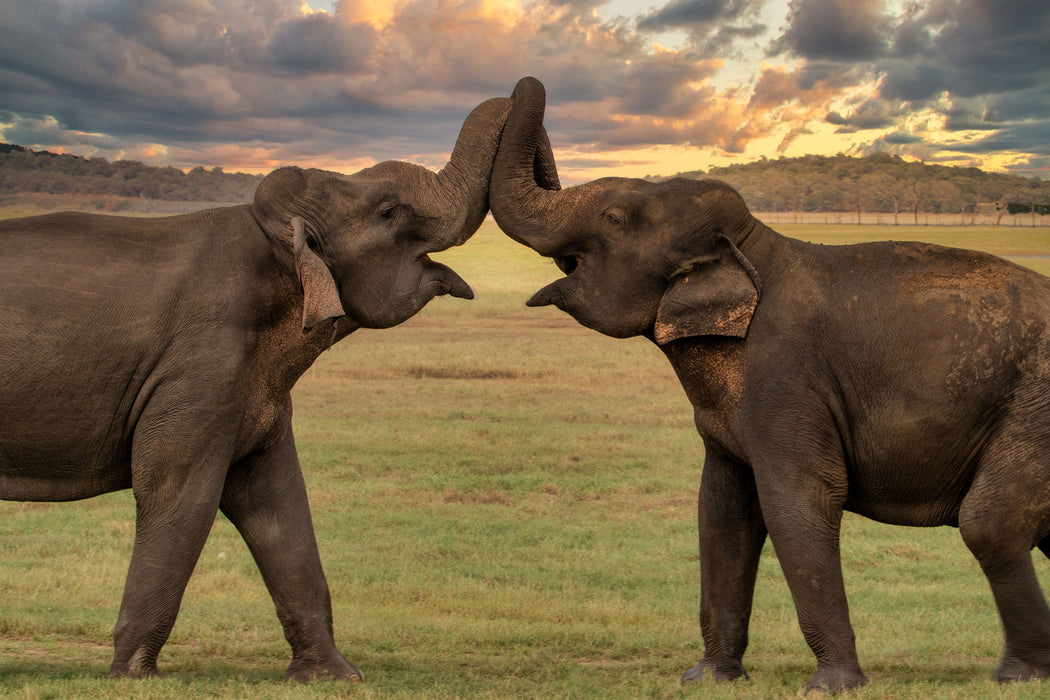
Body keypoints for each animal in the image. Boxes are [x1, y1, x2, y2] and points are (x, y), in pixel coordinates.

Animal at [0, 96, 510, 680]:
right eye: (387, 212)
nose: (524, 91)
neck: (270, 242)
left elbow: (276, 503)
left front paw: (332, 678)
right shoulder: (202, 365)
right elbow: (180, 493)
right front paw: (133, 676)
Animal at [489, 78, 1050, 696]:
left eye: (613, 217)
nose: (521, 88)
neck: (757, 247)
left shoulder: (786, 380)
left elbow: (797, 499)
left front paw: (830, 686)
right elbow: (721, 508)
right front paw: (708, 677)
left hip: (1035, 410)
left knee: (990, 525)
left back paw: (1019, 674)